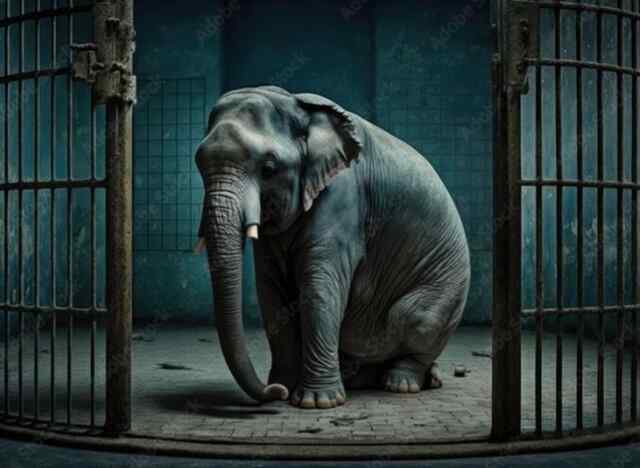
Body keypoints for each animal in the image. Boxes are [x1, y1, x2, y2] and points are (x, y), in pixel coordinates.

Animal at [194, 85, 470, 410]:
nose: (272, 390)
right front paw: (285, 386)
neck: (295, 105)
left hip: (444, 292)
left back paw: (400, 383)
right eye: (199, 163)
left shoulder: (343, 195)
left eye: (269, 168)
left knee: (413, 318)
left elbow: (319, 287)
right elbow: (271, 291)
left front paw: (316, 402)